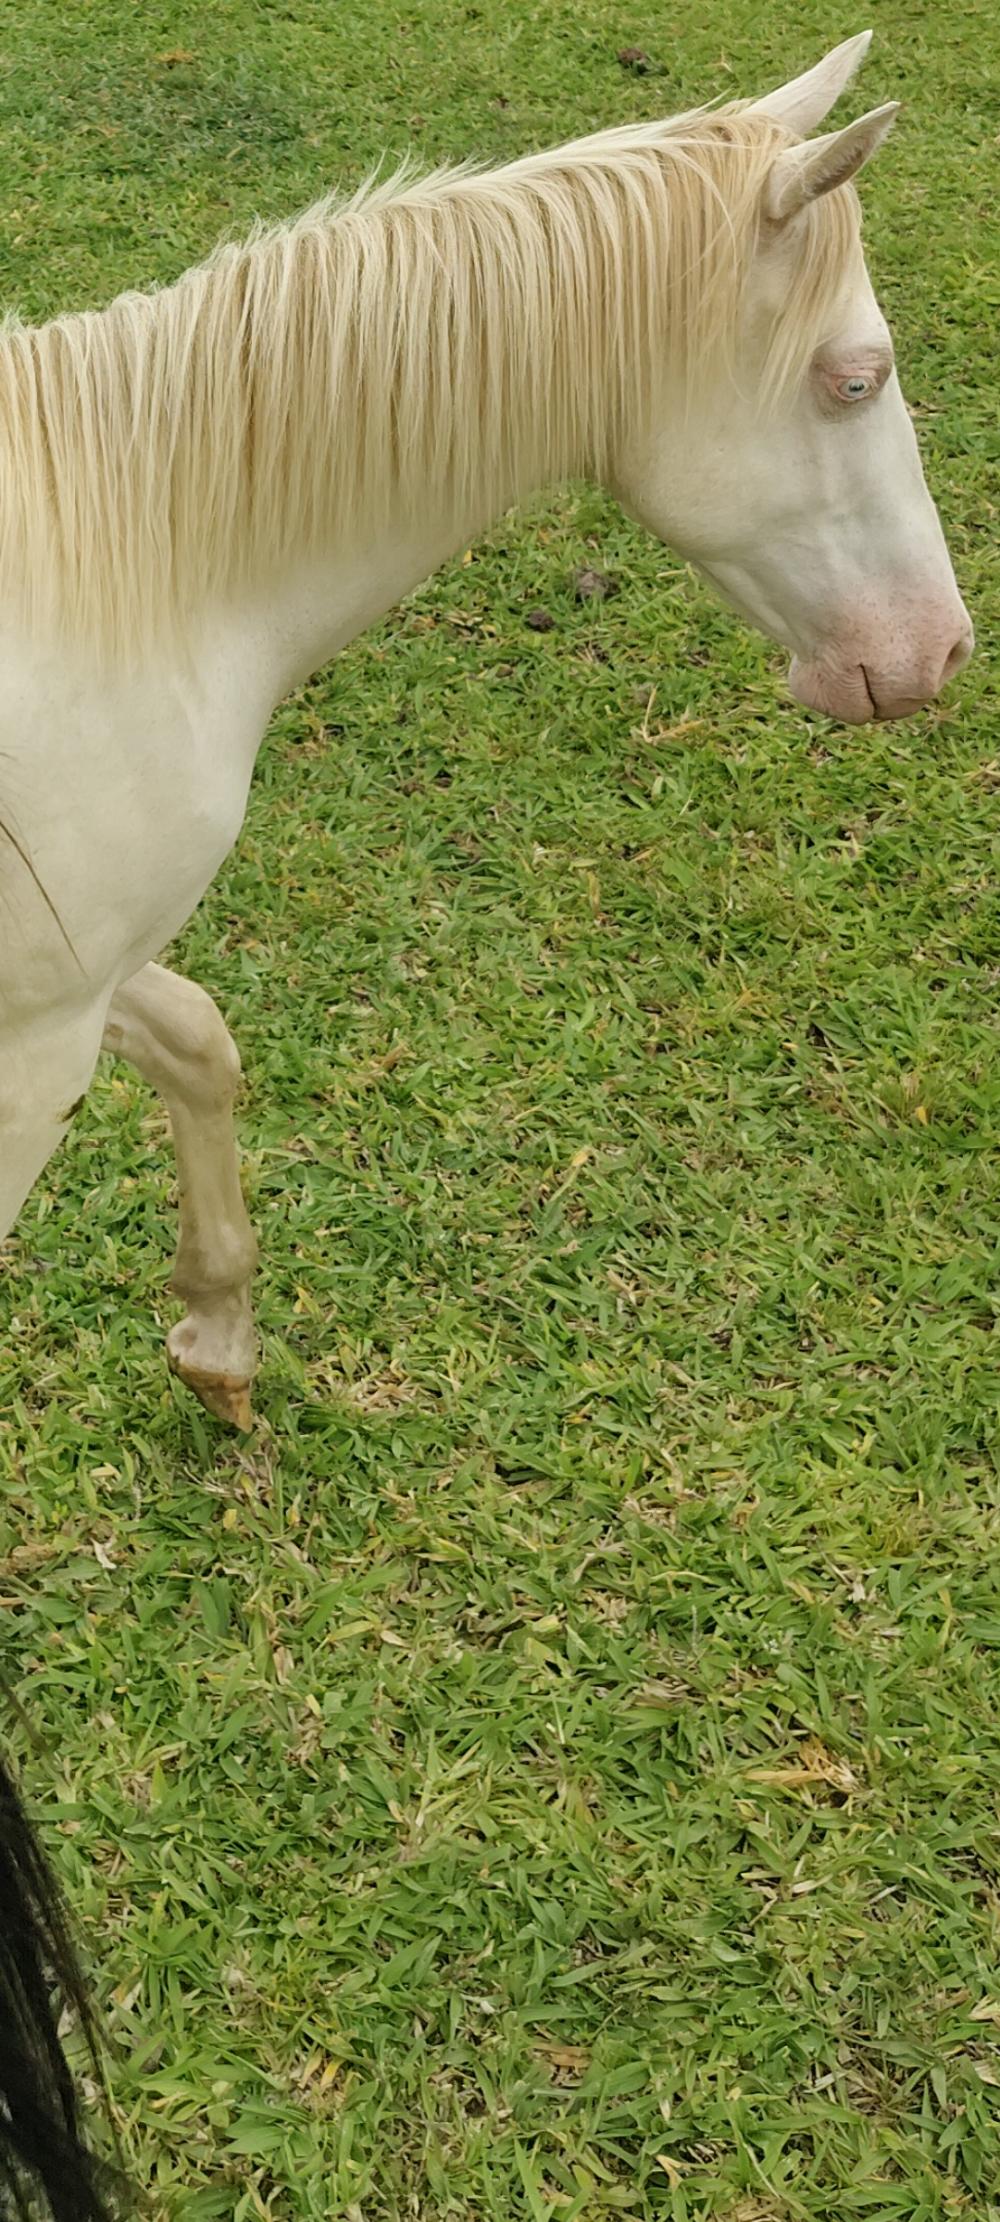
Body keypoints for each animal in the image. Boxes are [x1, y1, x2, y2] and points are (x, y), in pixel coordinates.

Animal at [0, 32, 973, 1431]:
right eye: (854, 380)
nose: (937, 648)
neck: (136, 582)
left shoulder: (75, 971)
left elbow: (199, 1040)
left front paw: (217, 1334)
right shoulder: (35, 1034)